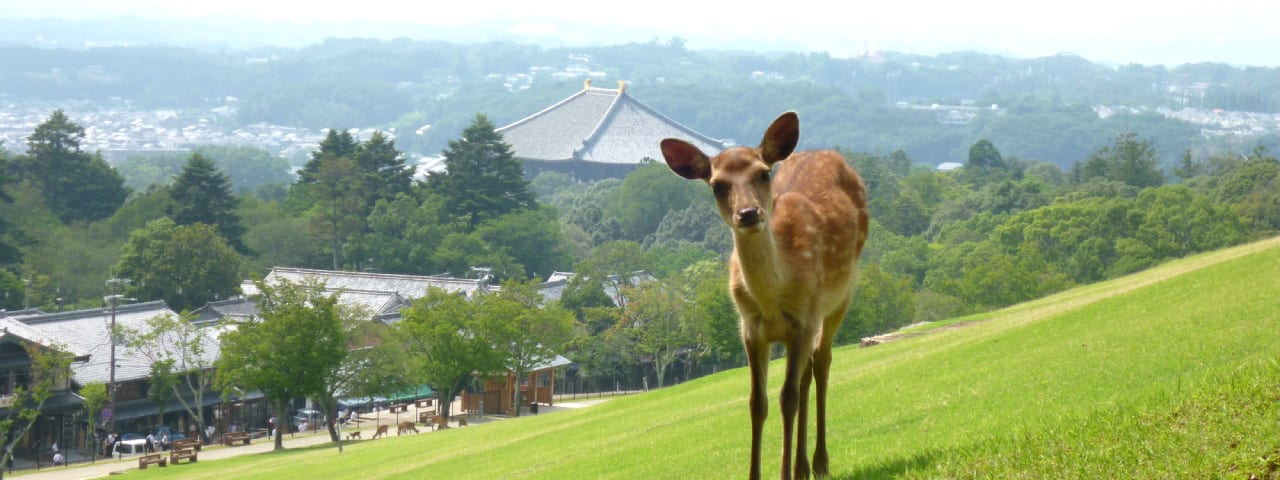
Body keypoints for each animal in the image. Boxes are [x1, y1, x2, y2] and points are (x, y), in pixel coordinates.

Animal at [660, 112, 870, 480]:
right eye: (717, 184)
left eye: (763, 172)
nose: (748, 213)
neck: (773, 296)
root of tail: (830, 153)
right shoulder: (750, 328)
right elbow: (757, 403)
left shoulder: (804, 319)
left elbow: (787, 399)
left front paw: (785, 473)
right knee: (807, 371)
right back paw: (802, 466)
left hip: (841, 293)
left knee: (822, 361)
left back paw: (820, 462)